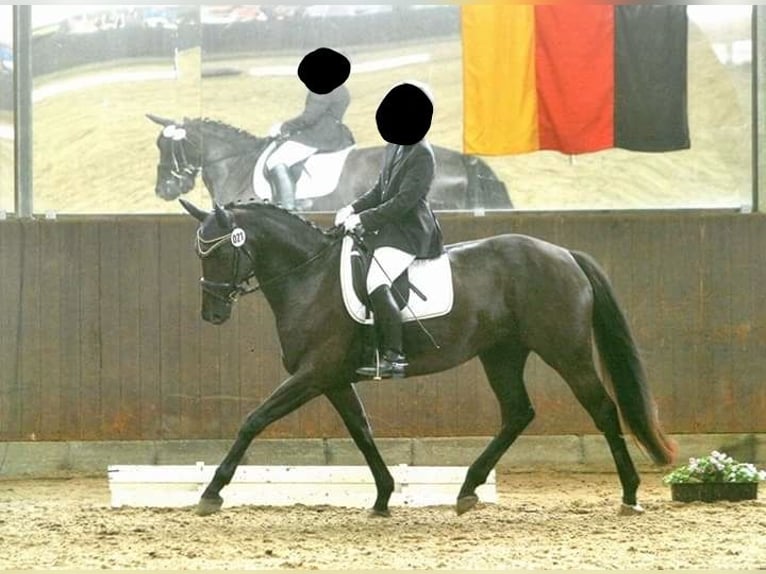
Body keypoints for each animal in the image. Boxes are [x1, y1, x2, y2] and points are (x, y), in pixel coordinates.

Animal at [179, 198, 677, 518]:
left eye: (218, 252)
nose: (212, 313)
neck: (310, 276)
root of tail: (565, 255)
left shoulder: (313, 373)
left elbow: (254, 420)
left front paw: (211, 493)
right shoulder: (333, 378)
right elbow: (362, 432)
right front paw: (383, 498)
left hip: (565, 351)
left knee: (603, 410)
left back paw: (630, 495)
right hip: (501, 353)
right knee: (518, 412)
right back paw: (468, 489)